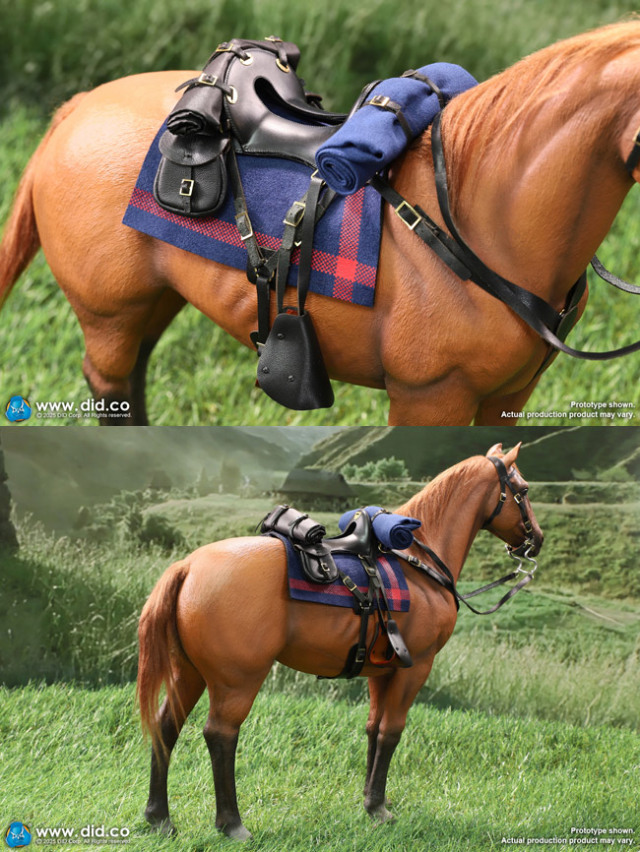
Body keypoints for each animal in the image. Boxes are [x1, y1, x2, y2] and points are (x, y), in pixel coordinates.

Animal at [2, 23, 640, 425]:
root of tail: (78, 106)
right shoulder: (430, 397)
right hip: (110, 313)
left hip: (155, 302)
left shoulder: (510, 395)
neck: (472, 213)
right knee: (110, 386)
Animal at [136, 442, 543, 840]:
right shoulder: (415, 668)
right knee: (220, 734)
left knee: (166, 727)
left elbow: (374, 729)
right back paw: (231, 823)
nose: (536, 539)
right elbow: (392, 732)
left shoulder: (383, 671)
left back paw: (160, 818)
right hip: (237, 681)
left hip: (187, 672)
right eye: (522, 491)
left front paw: (371, 799)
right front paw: (378, 808)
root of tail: (189, 565)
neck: (418, 560)